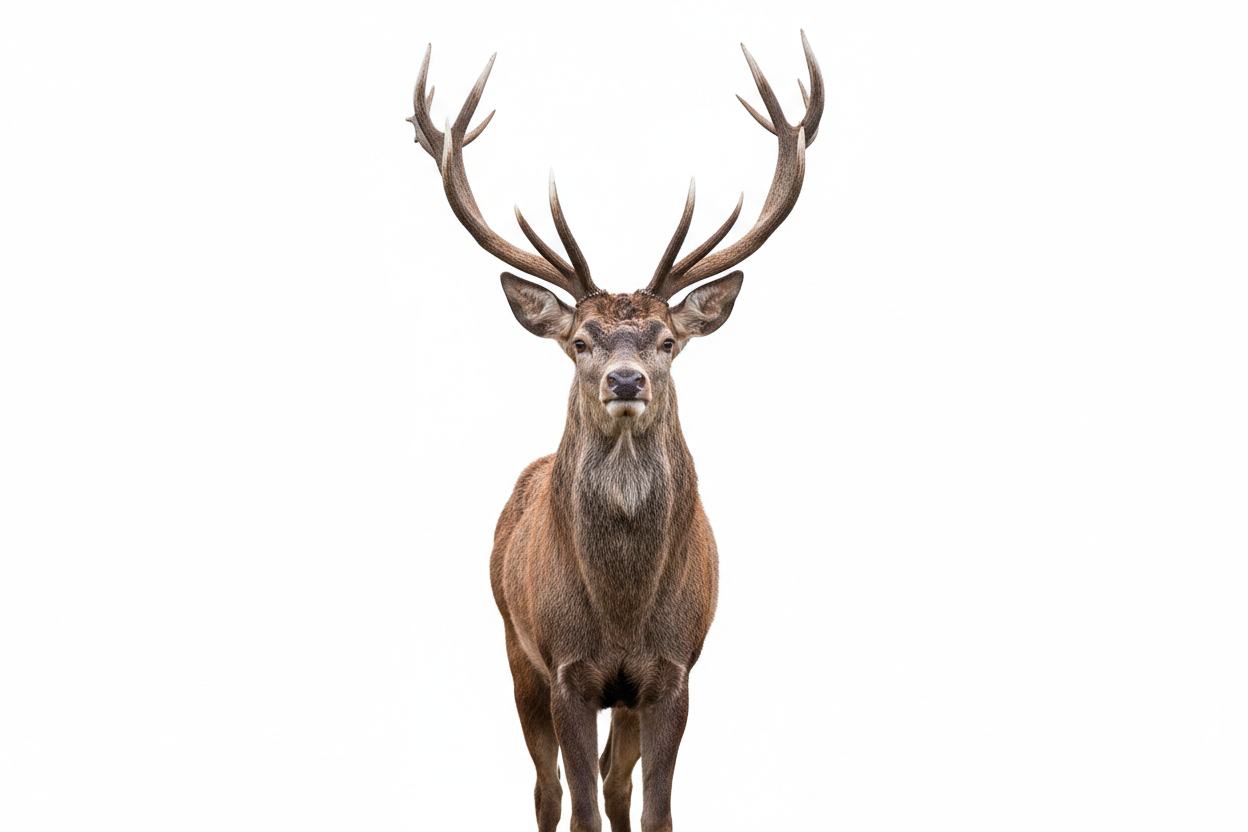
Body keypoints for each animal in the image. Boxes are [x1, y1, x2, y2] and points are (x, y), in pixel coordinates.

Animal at [407, 32, 824, 832]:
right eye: (579, 341)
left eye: (667, 341)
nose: (625, 381)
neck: (624, 613)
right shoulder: (566, 670)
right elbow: (580, 807)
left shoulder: (673, 672)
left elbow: (652, 805)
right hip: (515, 648)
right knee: (547, 789)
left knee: (617, 779)